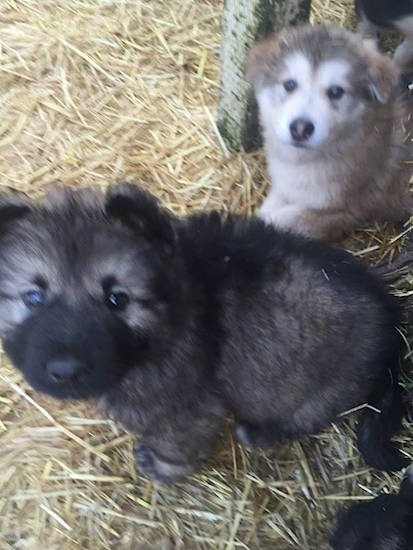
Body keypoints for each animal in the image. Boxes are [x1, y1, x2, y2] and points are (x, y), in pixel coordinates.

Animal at [0, 184, 408, 484]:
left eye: (117, 299)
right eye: (33, 297)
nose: (66, 371)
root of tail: (391, 319)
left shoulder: (185, 406)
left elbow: (177, 442)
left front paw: (163, 469)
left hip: (324, 389)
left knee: (304, 414)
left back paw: (261, 432)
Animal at [246, 25, 410, 242]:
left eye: (335, 92)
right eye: (289, 84)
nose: (300, 129)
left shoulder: (343, 211)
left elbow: (280, 221)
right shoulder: (286, 187)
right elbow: (268, 208)